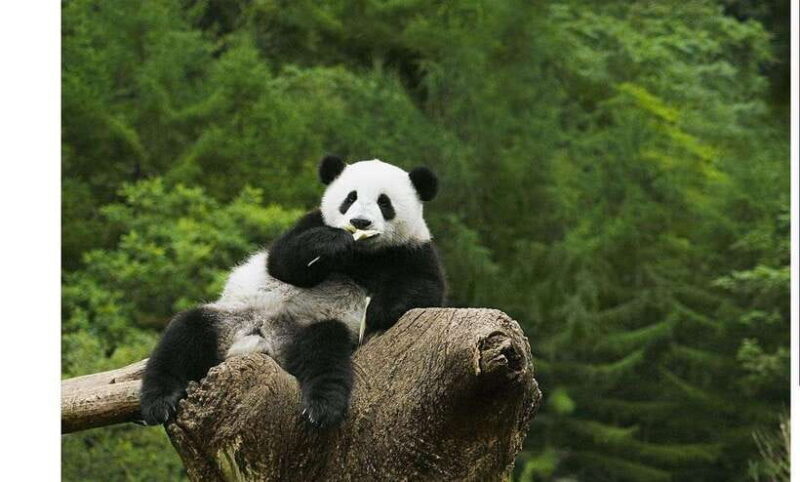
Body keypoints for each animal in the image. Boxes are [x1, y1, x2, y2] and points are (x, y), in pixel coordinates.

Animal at [140, 156, 447, 428]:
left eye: (384, 202)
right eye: (350, 198)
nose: (360, 222)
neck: (362, 254)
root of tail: (261, 338)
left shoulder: (412, 250)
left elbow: (425, 289)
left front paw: (378, 310)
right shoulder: (311, 222)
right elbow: (282, 261)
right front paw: (332, 243)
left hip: (308, 328)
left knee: (324, 352)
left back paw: (322, 407)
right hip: (230, 317)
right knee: (184, 335)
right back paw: (159, 401)